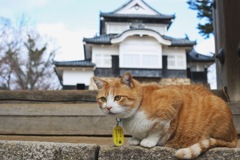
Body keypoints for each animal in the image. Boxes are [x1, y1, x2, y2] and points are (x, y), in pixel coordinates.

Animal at [93, 72, 237, 159]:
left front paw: (148, 141)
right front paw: (136, 139)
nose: (108, 107)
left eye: (117, 98)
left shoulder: (172, 101)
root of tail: (234, 133)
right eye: (103, 99)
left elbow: (157, 130)